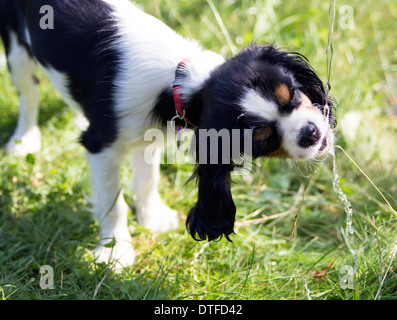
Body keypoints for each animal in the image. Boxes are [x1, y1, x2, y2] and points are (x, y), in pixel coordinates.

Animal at [0, 0, 334, 268]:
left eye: (293, 95)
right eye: (262, 137)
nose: (311, 132)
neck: (181, 80)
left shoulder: (149, 134)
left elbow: (147, 179)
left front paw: (151, 219)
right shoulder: (102, 146)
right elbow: (112, 201)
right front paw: (115, 251)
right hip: (16, 46)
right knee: (28, 91)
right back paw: (24, 140)